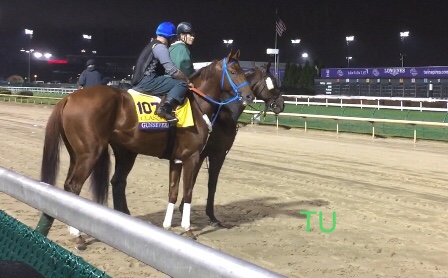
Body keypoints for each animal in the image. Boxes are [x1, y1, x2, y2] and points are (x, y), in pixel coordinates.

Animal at [37, 49, 256, 248]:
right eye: (234, 71)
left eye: (245, 72)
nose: (249, 96)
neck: (197, 106)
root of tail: (70, 98)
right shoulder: (192, 157)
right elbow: (188, 192)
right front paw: (187, 229)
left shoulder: (176, 159)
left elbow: (173, 191)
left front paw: (167, 226)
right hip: (91, 153)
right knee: (74, 186)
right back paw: (78, 235)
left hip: (89, 153)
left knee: (95, 183)